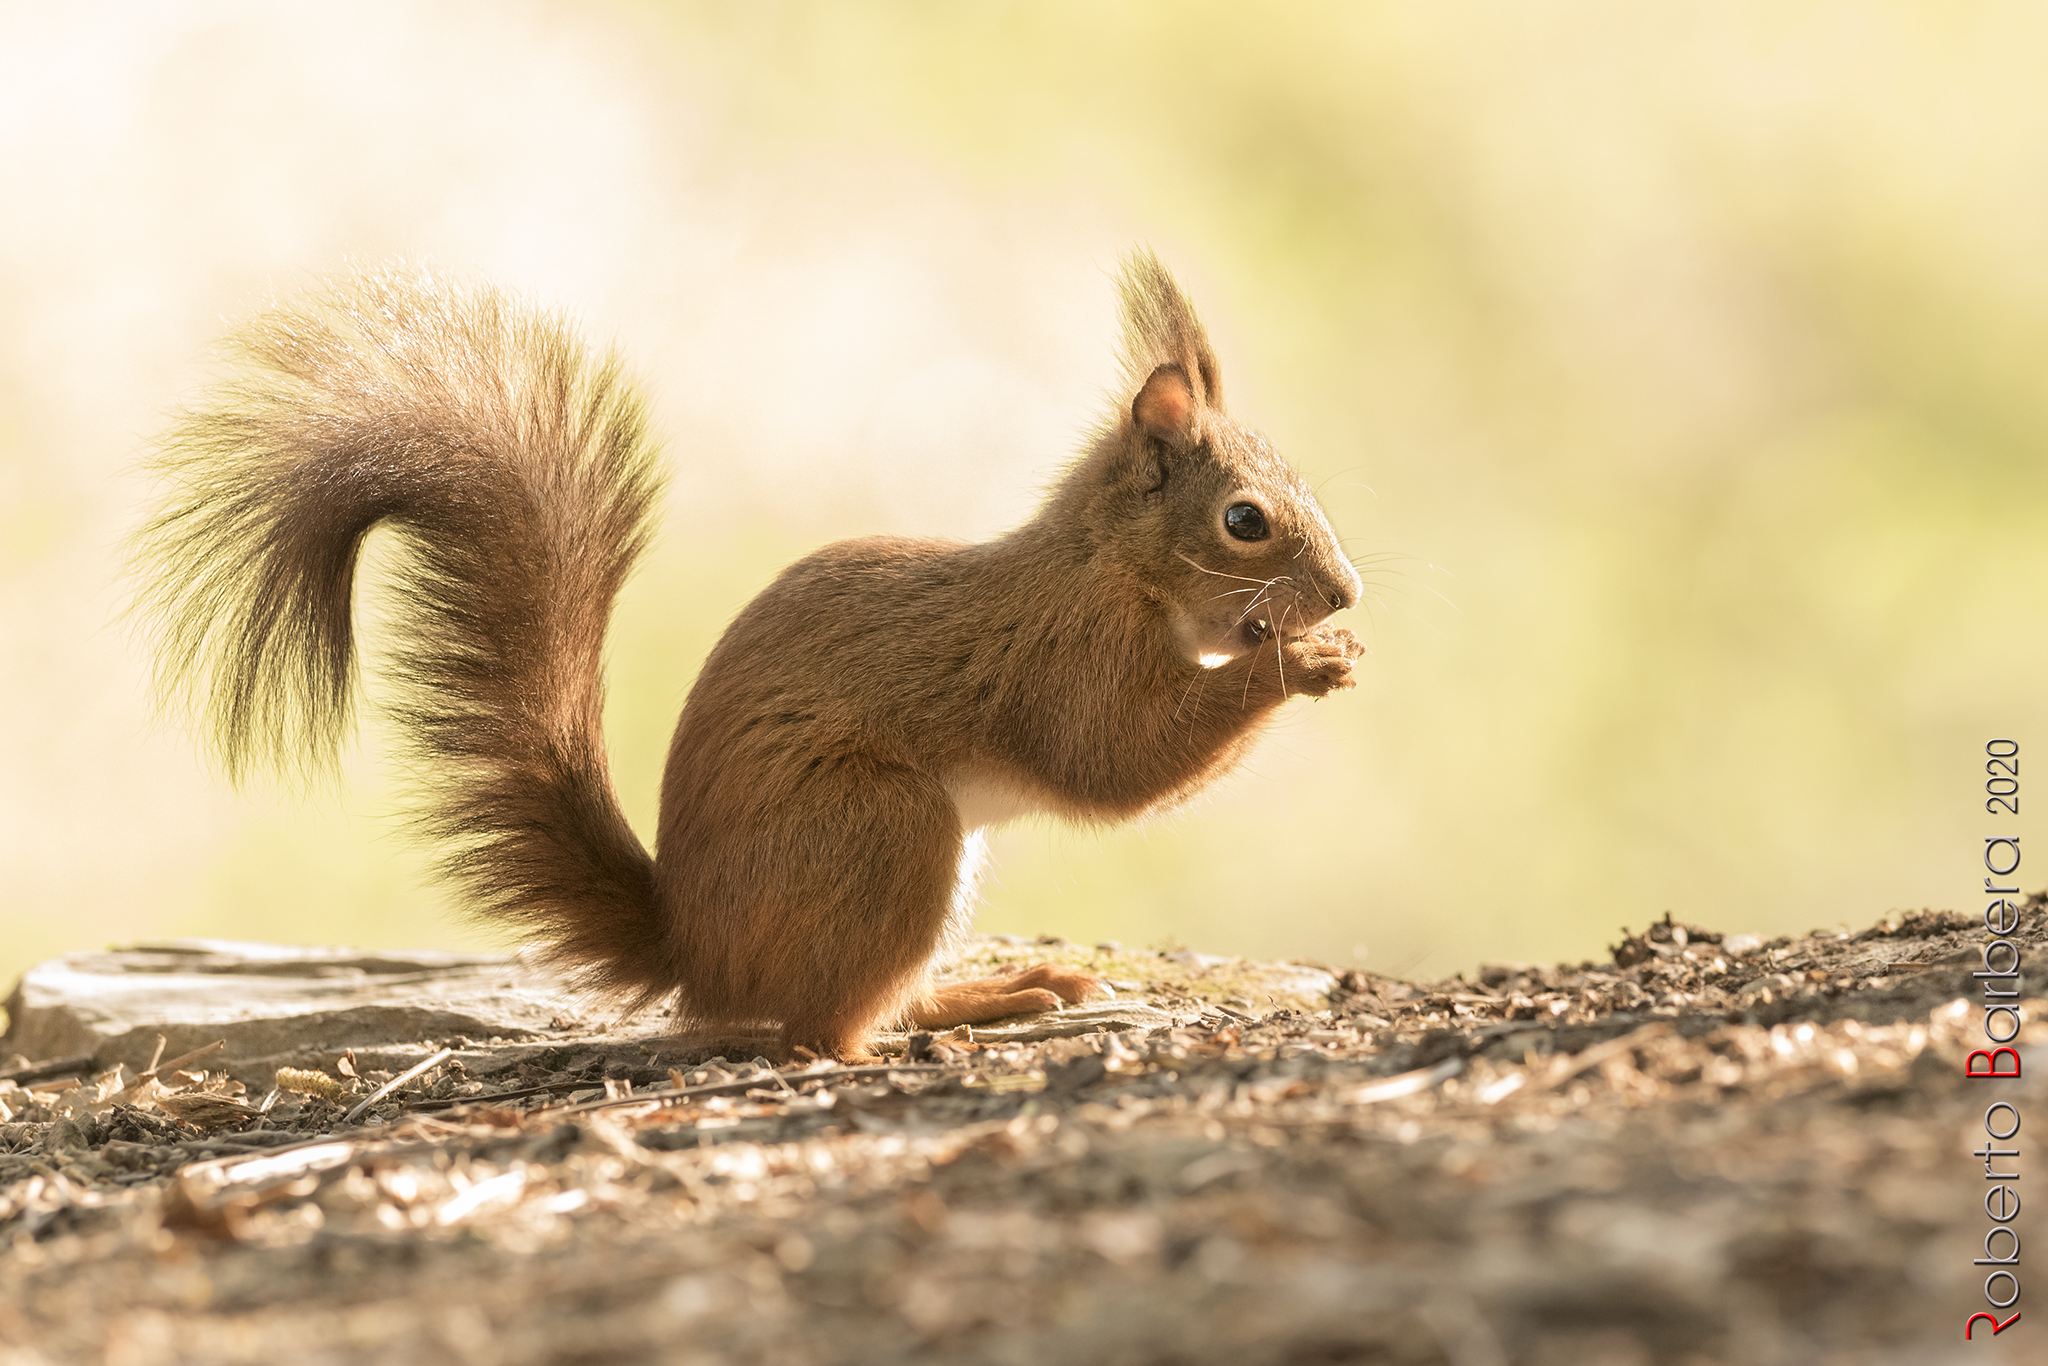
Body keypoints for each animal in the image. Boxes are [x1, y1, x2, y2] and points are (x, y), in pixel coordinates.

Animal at [131, 251, 1365, 1062]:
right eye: (1245, 522)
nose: (1347, 591)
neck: (1112, 569)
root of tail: (698, 949)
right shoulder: (1064, 659)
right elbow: (1115, 764)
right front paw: (1300, 660)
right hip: (884, 832)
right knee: (820, 1027)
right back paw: (908, 1042)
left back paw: (996, 992)